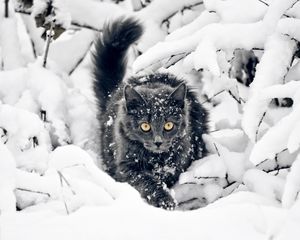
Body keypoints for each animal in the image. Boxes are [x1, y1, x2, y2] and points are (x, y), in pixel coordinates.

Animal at [92, 16, 207, 209]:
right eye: (145, 126)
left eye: (169, 125)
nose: (158, 141)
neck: (156, 160)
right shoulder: (126, 166)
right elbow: (147, 181)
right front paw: (164, 200)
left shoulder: (180, 159)